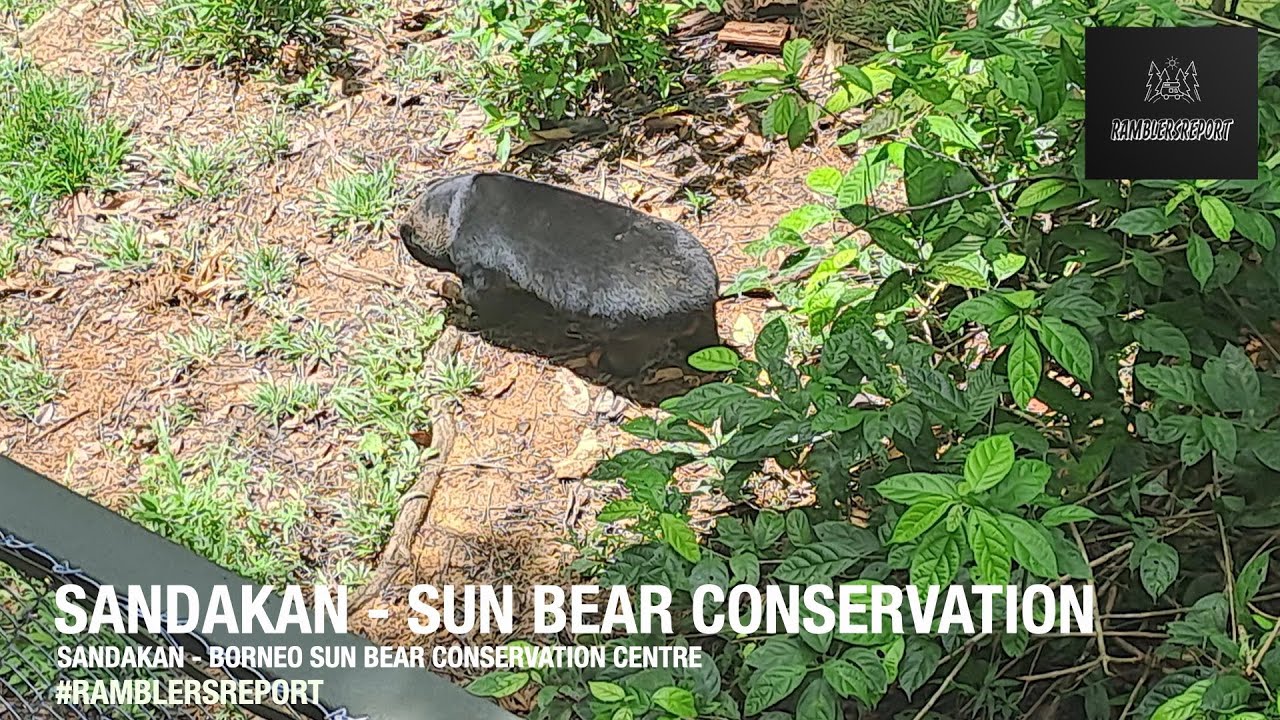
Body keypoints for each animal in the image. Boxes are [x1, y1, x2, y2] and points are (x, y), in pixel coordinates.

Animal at [396, 172, 721, 378]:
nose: (401, 229)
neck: (457, 209)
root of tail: (703, 294)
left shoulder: (483, 275)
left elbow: (481, 304)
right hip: (703, 322)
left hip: (632, 334)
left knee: (626, 360)